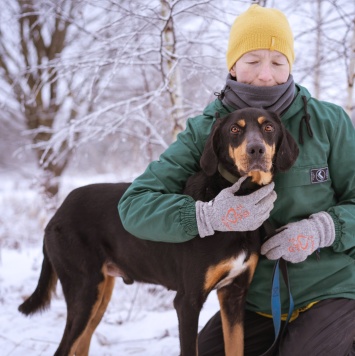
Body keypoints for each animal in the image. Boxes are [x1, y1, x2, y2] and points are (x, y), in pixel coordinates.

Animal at [18, 108, 298, 356]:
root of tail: (57, 214)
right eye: (234, 129)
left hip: (100, 293)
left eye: (268, 128)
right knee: (64, 348)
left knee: (80, 346)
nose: (256, 150)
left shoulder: (234, 295)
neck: (241, 193)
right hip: (84, 290)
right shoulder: (187, 302)